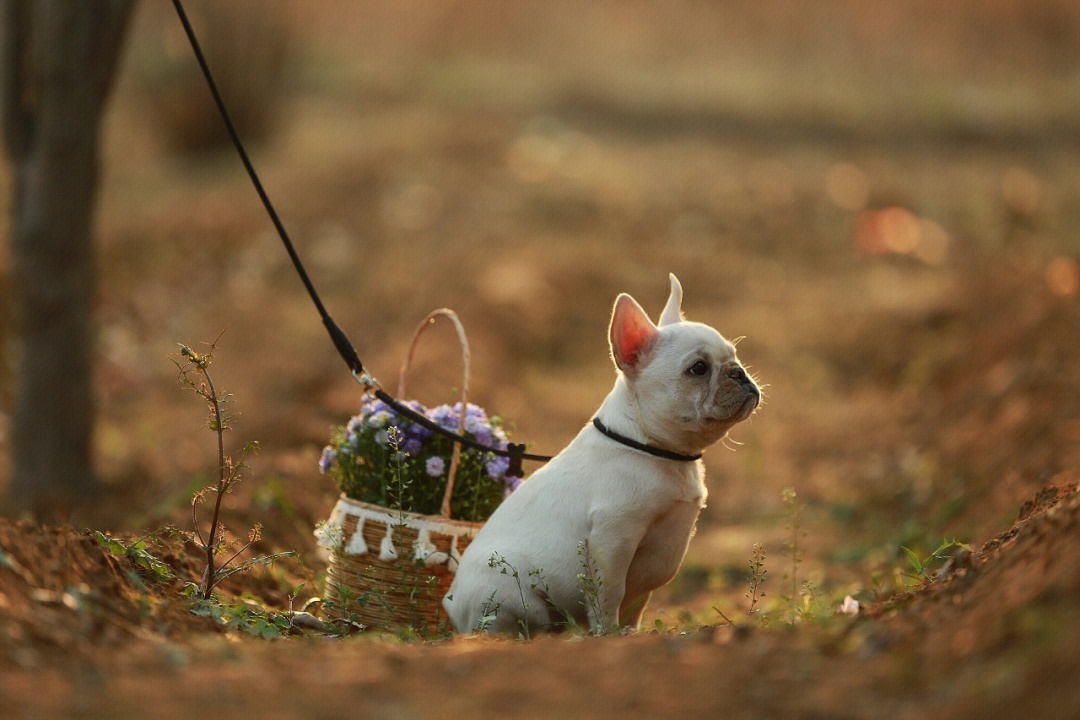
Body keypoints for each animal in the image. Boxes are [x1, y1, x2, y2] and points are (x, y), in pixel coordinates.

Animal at [440, 273, 760, 634]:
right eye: (699, 369)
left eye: (734, 356)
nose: (738, 372)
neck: (657, 449)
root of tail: (450, 602)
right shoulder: (613, 537)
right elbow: (610, 595)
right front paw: (608, 636)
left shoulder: (660, 552)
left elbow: (637, 602)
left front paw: (632, 634)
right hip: (508, 595)